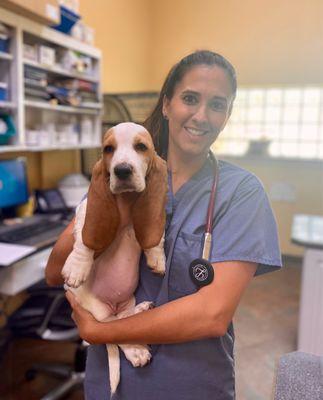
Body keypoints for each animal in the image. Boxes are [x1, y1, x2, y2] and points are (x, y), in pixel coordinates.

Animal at [61, 121, 168, 394]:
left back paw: (141, 310)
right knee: (111, 329)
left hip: (127, 300)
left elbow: (156, 237)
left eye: (141, 147)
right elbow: (84, 239)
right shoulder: (85, 210)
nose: (121, 170)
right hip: (97, 313)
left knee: (121, 320)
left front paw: (157, 258)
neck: (128, 199)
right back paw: (135, 351)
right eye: (109, 149)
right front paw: (77, 267)